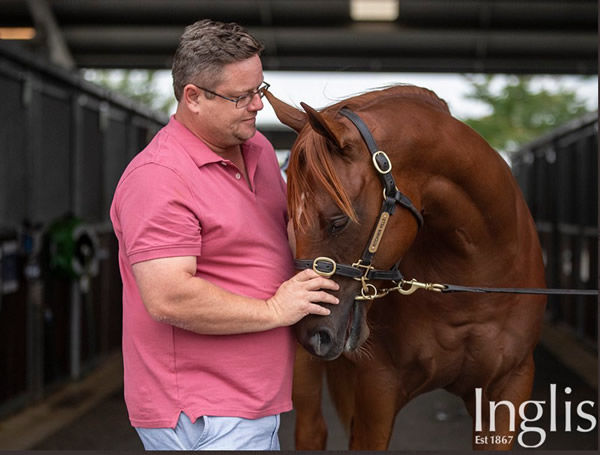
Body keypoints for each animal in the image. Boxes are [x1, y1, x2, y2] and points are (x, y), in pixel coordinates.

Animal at [264, 86, 548, 452]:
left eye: (339, 221)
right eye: (289, 220)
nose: (313, 333)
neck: (474, 283)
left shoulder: (508, 388)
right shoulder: (378, 388)